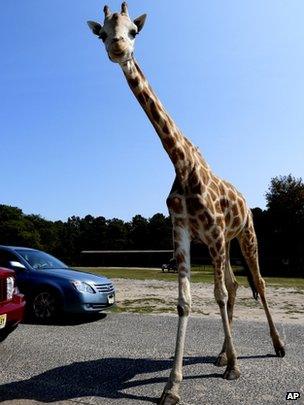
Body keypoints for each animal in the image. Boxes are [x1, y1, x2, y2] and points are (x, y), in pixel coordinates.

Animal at [87, 3, 284, 404]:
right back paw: (221, 354)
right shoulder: (182, 231)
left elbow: (218, 294)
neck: (182, 163)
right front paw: (172, 386)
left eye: (133, 31)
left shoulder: (215, 232)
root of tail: (246, 199)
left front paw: (235, 368)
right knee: (236, 286)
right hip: (220, 243)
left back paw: (276, 347)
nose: (118, 48)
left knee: (256, 284)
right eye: (103, 33)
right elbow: (186, 301)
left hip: (244, 236)